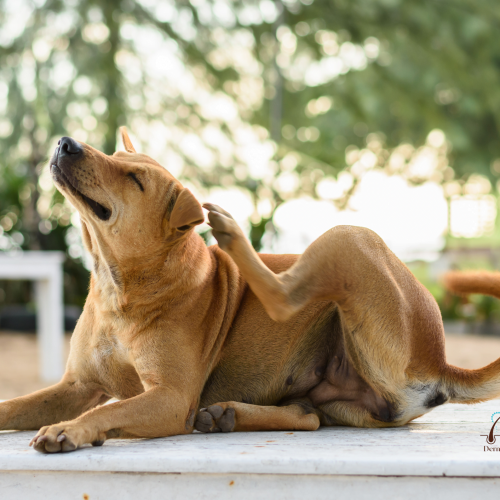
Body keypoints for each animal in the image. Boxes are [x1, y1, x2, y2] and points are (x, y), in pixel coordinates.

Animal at [0, 130, 500, 454]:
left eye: (135, 180)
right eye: (109, 154)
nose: (66, 142)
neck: (119, 286)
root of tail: (438, 359)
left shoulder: (170, 398)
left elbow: (104, 413)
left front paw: (71, 430)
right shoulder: (76, 386)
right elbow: (14, 405)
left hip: (350, 238)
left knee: (284, 297)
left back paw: (231, 233)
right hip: (339, 396)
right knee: (308, 416)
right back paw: (229, 415)